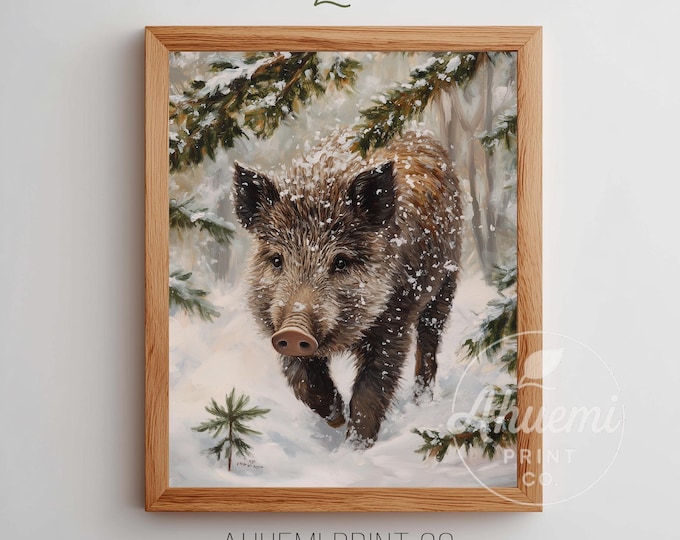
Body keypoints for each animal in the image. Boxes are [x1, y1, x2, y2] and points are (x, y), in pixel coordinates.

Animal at [232, 130, 462, 448]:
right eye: (277, 259)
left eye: (340, 261)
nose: (294, 332)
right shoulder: (275, 324)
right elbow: (303, 381)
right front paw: (336, 418)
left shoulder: (394, 321)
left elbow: (371, 390)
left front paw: (355, 448)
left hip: (446, 283)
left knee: (429, 341)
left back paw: (421, 401)